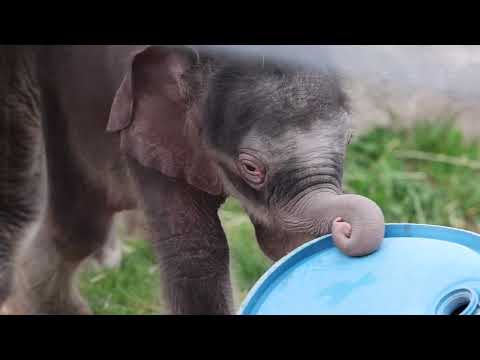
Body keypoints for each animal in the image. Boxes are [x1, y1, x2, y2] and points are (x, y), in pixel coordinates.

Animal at [0, 45, 384, 316]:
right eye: (251, 168)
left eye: (349, 139)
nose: (344, 227)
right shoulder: (150, 121)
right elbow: (195, 253)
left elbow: (285, 246)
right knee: (75, 222)